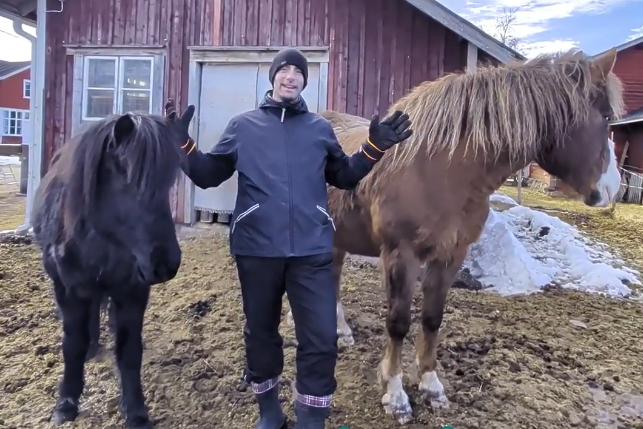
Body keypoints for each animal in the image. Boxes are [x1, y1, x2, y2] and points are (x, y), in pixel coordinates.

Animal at [31, 111, 185, 429]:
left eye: (168, 182)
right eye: (125, 175)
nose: (166, 263)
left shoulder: (133, 291)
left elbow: (129, 350)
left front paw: (135, 411)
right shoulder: (66, 289)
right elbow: (72, 345)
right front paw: (66, 404)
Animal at [286, 47, 624, 424]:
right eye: (606, 117)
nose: (612, 188)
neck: (442, 168)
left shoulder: (451, 254)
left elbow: (432, 318)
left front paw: (431, 385)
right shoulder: (400, 254)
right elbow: (398, 322)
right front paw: (395, 394)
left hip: (338, 237)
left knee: (331, 276)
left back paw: (340, 331)